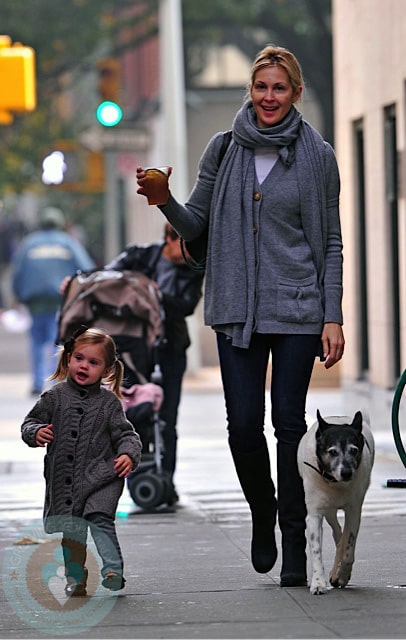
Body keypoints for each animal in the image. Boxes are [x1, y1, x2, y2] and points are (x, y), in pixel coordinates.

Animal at [298, 410, 374, 596]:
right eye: (332, 452)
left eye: (354, 450)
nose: (346, 472)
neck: (335, 482)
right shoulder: (314, 514)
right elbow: (316, 549)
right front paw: (318, 583)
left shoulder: (354, 511)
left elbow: (349, 547)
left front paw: (343, 575)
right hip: (329, 510)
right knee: (337, 531)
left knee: (343, 535)